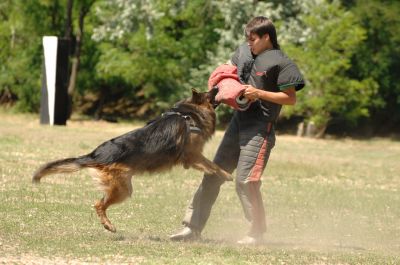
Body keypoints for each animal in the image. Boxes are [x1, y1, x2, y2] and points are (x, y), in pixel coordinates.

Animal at [32, 88, 231, 231]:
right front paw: (226, 174)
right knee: (99, 204)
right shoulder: (193, 154)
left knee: (99, 202)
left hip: (120, 186)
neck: (189, 114)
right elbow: (212, 165)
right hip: (123, 190)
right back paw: (108, 225)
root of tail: (95, 154)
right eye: (209, 92)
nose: (217, 87)